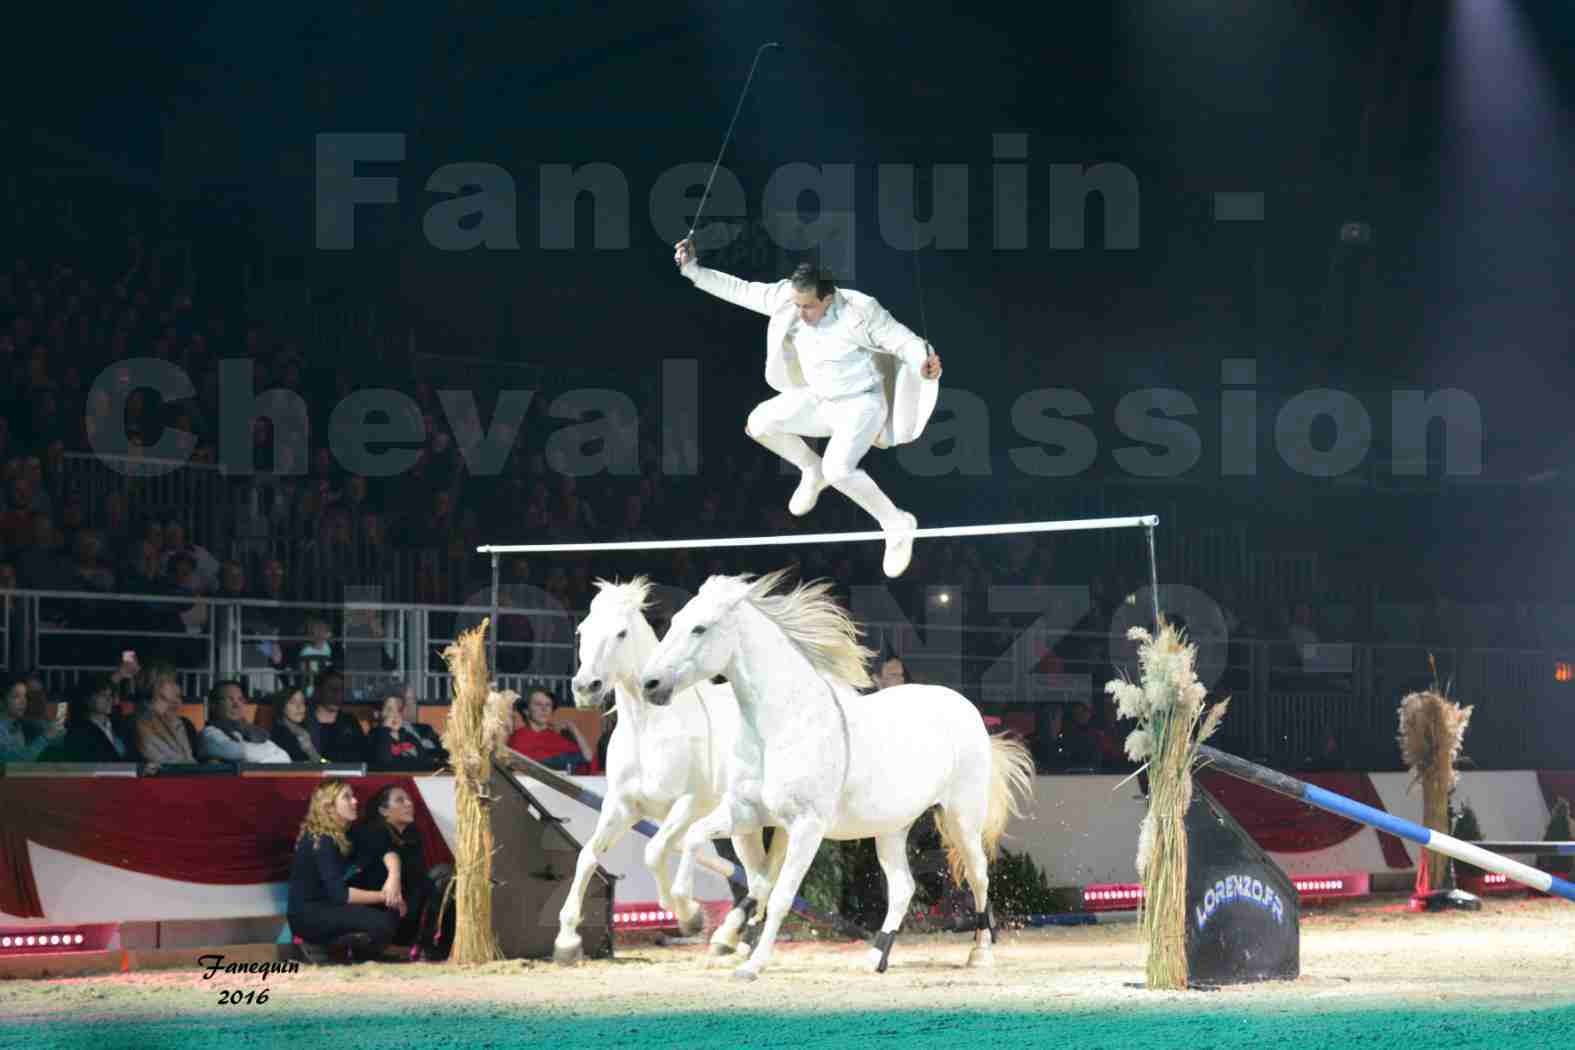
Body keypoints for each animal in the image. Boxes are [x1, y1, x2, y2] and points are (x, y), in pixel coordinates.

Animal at [554, 579, 787, 963]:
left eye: (621, 633)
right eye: (582, 630)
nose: (586, 687)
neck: (649, 730)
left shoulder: (689, 805)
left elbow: (654, 853)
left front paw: (690, 917)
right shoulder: (622, 807)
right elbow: (587, 856)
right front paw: (566, 941)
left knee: (767, 876)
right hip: (745, 827)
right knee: (757, 876)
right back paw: (731, 937)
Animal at [639, 569, 1033, 982]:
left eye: (699, 628)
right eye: (675, 622)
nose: (650, 685)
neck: (779, 726)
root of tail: (967, 708)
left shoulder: (806, 827)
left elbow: (780, 896)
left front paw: (752, 964)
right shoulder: (746, 812)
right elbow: (696, 838)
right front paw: (690, 915)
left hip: (961, 819)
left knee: (979, 876)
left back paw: (979, 953)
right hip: (891, 828)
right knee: (903, 887)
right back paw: (876, 957)